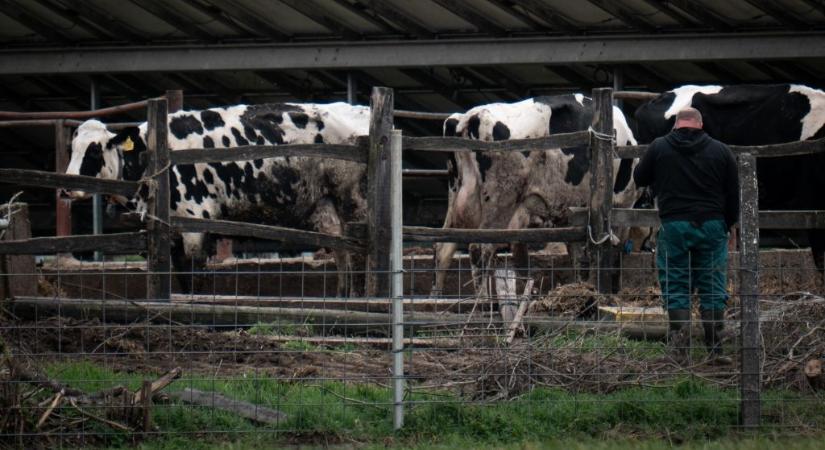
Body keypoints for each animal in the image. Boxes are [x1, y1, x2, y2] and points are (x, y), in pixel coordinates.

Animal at [66, 103, 368, 298]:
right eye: (72, 148)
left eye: (95, 150)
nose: (67, 186)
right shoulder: (172, 233)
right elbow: (181, 276)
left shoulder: (195, 223)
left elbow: (195, 276)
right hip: (326, 207)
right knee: (341, 250)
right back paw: (342, 298)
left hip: (355, 203)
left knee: (359, 252)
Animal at [428, 95, 640, 298]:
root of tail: (468, 117)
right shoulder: (621, 206)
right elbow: (614, 254)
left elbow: (578, 256)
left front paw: (581, 287)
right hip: (500, 200)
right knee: (480, 248)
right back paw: (484, 302)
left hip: (457, 197)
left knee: (444, 247)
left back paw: (436, 298)